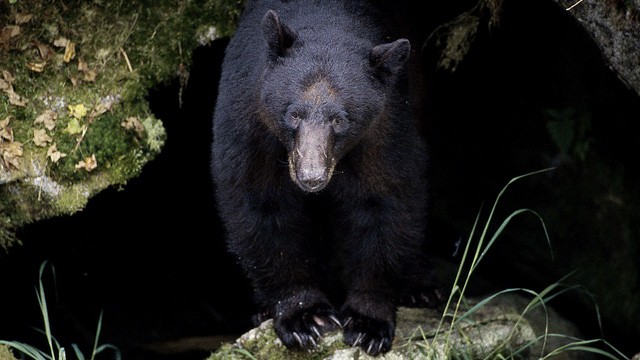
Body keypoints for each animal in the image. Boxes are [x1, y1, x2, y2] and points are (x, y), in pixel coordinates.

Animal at [212, 0, 442, 354]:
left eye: (339, 120)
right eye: (293, 114)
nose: (311, 176)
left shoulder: (385, 127)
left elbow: (386, 202)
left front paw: (367, 321)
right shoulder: (250, 122)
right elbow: (262, 204)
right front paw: (305, 317)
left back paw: (422, 286)